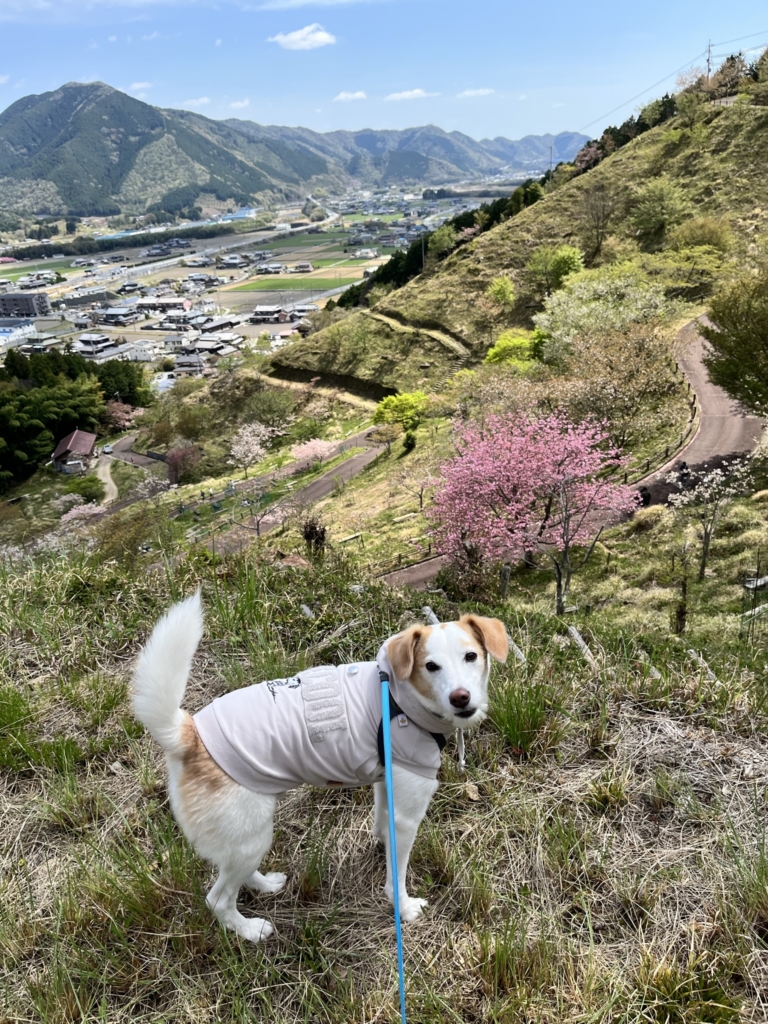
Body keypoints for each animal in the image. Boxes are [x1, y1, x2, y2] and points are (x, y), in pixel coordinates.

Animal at [131, 593, 512, 942]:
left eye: (470, 656)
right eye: (431, 666)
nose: (460, 698)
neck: (399, 700)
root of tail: (190, 734)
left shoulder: (386, 784)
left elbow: (380, 821)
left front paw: (380, 842)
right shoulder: (407, 816)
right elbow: (397, 876)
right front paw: (403, 908)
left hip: (246, 839)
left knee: (234, 871)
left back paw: (264, 883)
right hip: (249, 834)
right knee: (219, 899)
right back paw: (250, 930)